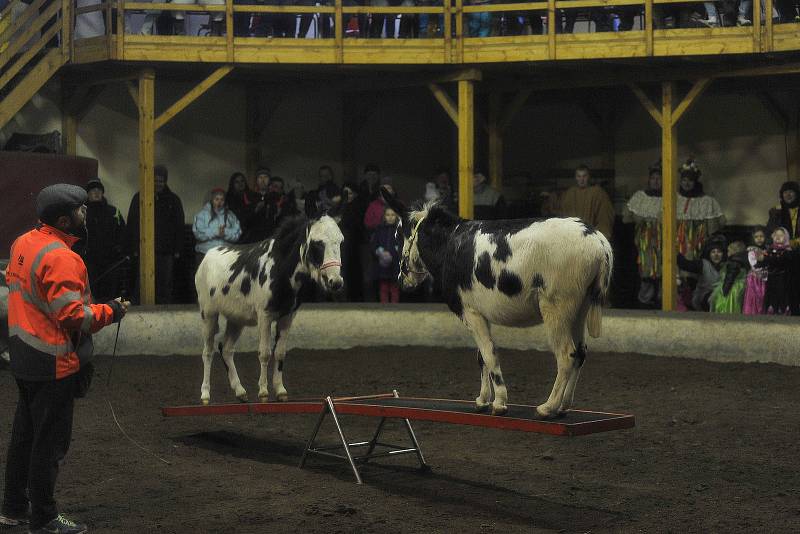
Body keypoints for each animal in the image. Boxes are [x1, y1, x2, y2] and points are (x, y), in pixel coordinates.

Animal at [196, 209, 344, 406]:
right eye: (317, 243)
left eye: (341, 241)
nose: (336, 282)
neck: (279, 267)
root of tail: (208, 256)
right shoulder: (265, 317)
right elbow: (265, 353)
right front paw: (264, 392)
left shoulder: (287, 317)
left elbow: (280, 353)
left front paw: (280, 391)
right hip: (208, 315)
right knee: (208, 352)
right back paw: (205, 394)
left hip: (236, 320)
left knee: (226, 349)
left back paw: (240, 391)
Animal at [382, 191, 612, 420]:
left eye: (397, 235)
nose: (401, 280)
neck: (449, 246)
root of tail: (599, 242)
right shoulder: (480, 314)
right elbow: (482, 357)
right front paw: (482, 400)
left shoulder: (470, 312)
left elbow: (489, 355)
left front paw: (499, 402)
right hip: (579, 309)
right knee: (580, 353)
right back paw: (564, 406)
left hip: (556, 308)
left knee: (566, 355)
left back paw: (548, 407)